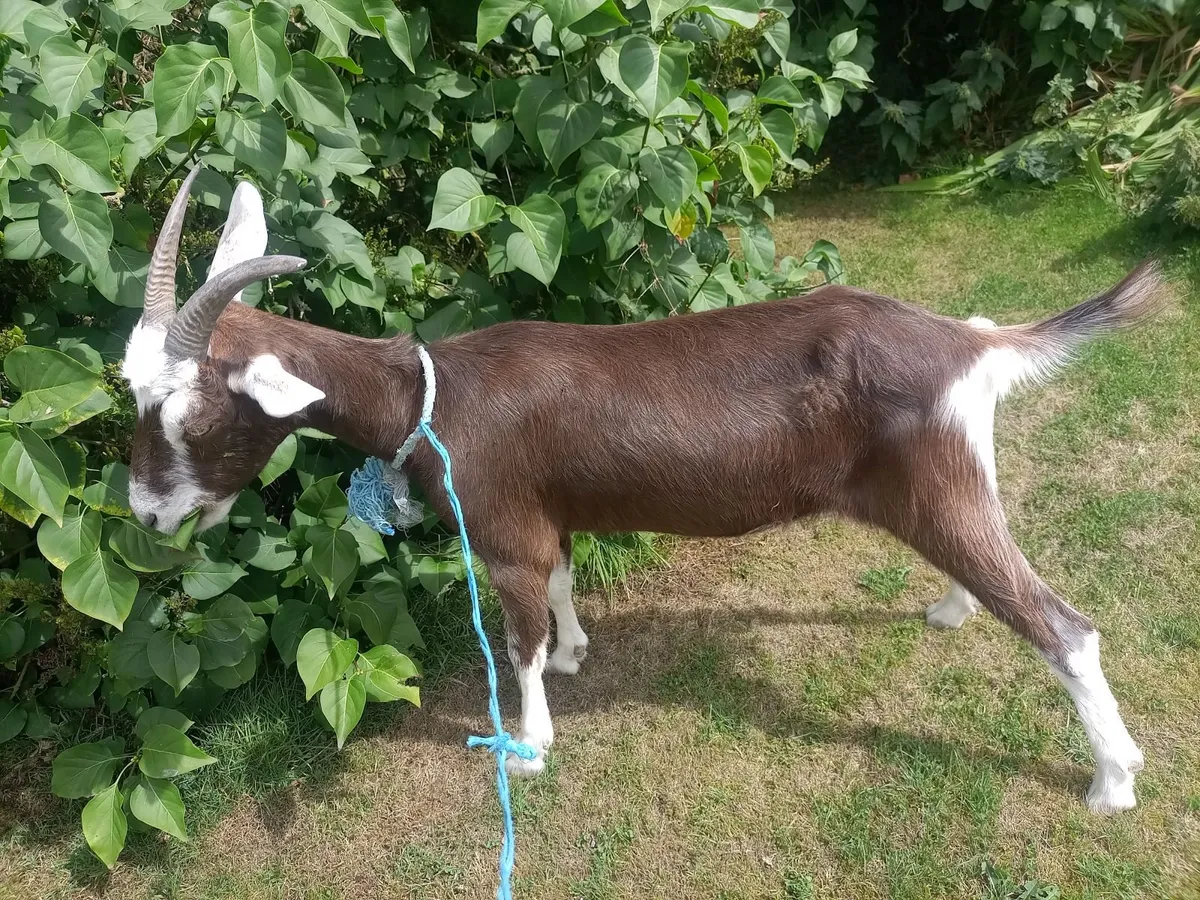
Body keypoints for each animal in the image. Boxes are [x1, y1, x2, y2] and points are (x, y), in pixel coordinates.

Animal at [123, 168, 1163, 815]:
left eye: (186, 411)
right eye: (130, 391)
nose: (146, 514)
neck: (431, 395)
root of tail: (971, 343)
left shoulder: (503, 531)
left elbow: (519, 637)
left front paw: (533, 744)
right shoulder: (549, 510)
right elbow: (564, 581)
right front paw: (580, 652)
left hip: (942, 487)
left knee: (1065, 627)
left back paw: (1113, 781)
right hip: (942, 489)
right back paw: (952, 610)